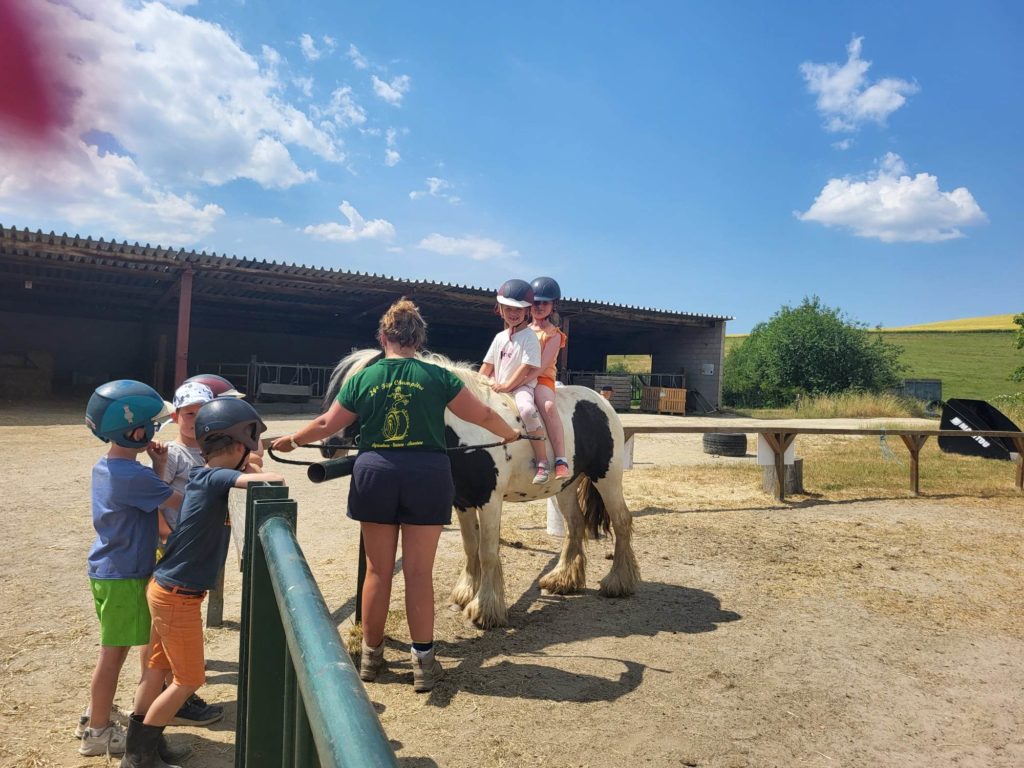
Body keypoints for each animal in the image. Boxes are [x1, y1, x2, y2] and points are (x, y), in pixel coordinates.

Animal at [324, 348, 640, 629]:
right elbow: (470, 546)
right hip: (565, 486)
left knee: (622, 521)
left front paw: (485, 609)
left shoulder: (490, 501)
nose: (328, 445)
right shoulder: (462, 501)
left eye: (361, 391)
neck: (471, 432)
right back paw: (563, 580)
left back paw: (618, 582)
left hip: (607, 476)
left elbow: (487, 551)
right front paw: (465, 593)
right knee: (575, 525)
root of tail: (601, 403)